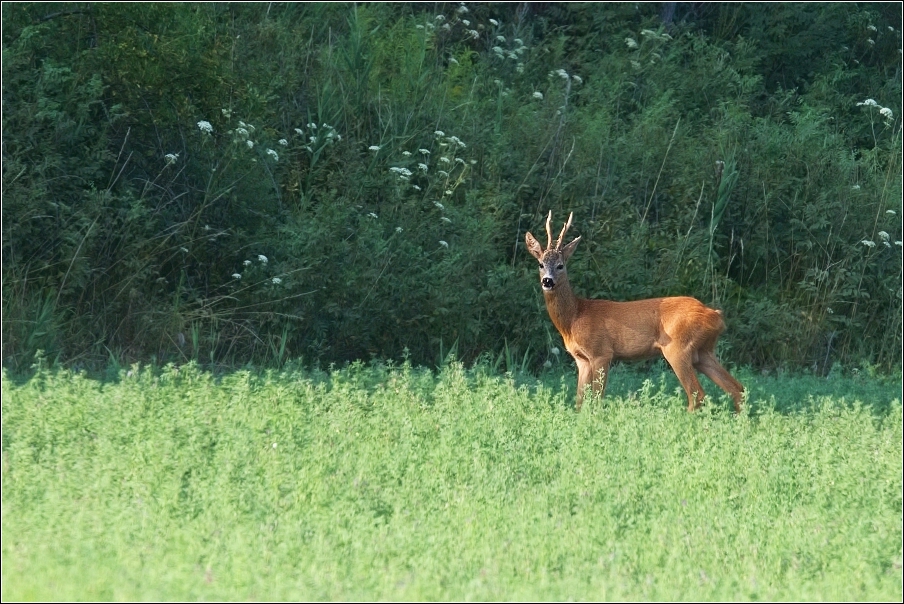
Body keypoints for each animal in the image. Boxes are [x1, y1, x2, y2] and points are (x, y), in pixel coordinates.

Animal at [528, 210, 744, 412]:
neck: (574, 317)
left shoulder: (601, 352)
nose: (547, 281)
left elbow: (597, 399)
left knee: (697, 393)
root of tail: (715, 315)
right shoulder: (582, 359)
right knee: (737, 388)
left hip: (678, 348)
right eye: (540, 264)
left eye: (560, 265)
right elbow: (580, 401)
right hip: (703, 351)